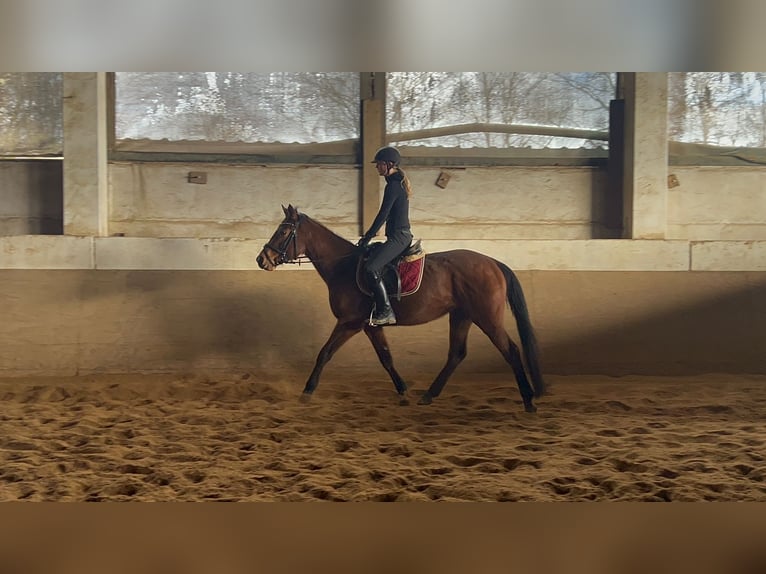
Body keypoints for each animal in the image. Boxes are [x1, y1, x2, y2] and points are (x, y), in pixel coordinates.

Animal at [256, 205, 546, 413]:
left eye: (283, 232)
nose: (262, 260)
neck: (343, 267)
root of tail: (493, 262)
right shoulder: (370, 326)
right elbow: (386, 358)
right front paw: (404, 392)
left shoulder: (350, 322)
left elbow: (324, 353)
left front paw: (307, 392)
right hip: (461, 315)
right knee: (457, 354)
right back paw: (428, 395)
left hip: (487, 318)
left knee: (510, 350)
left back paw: (528, 400)